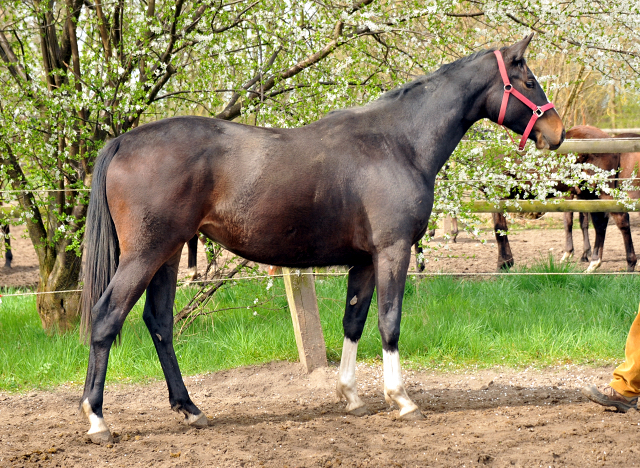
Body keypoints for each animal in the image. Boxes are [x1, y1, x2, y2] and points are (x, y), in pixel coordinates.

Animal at [77, 36, 564, 442]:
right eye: (530, 81)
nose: (557, 132)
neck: (397, 142)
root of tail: (123, 141)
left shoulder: (364, 261)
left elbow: (354, 321)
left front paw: (350, 395)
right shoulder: (392, 252)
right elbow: (389, 322)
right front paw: (401, 399)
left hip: (170, 254)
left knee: (159, 323)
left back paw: (190, 409)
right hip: (146, 254)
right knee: (106, 318)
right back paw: (97, 419)